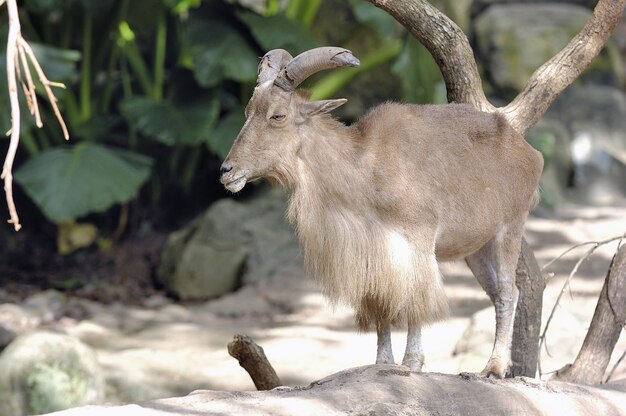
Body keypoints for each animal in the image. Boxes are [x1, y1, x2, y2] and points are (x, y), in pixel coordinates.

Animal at [219, 47, 540, 378]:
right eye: (248, 111)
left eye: (278, 116)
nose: (227, 171)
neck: (365, 166)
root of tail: (529, 151)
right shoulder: (375, 255)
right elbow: (381, 305)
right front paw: (383, 362)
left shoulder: (417, 243)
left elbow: (415, 300)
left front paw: (411, 363)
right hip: (476, 249)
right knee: (498, 293)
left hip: (509, 229)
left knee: (507, 293)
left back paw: (494, 367)